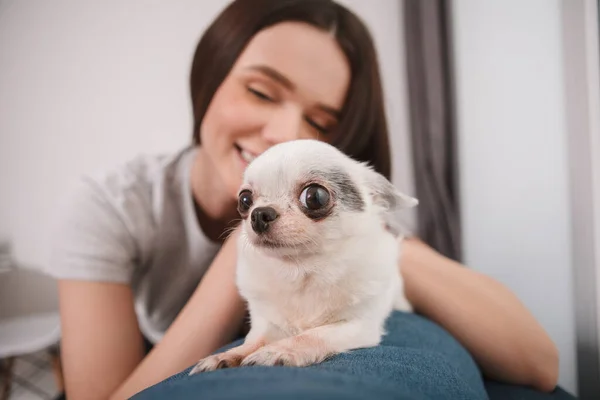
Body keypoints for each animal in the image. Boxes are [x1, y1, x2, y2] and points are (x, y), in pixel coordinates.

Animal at [191, 139, 418, 374]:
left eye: (315, 197)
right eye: (244, 200)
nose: (259, 214)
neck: (301, 268)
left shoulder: (358, 325)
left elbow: (312, 335)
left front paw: (279, 351)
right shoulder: (267, 322)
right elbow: (255, 340)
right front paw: (228, 355)